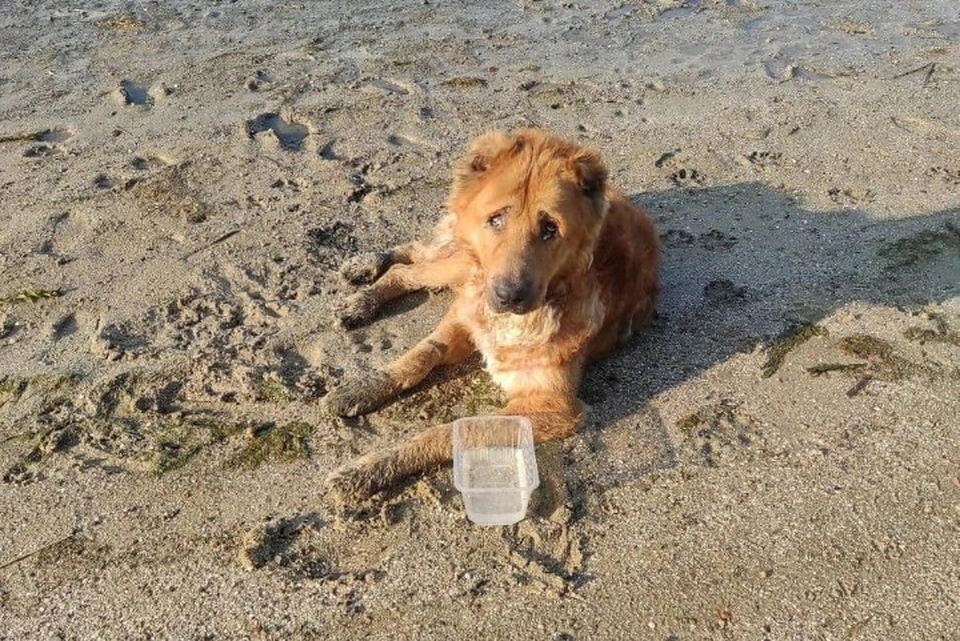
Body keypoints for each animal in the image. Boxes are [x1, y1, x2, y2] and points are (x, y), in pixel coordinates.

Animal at [322, 129, 660, 500]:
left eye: (550, 229)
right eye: (496, 219)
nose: (508, 296)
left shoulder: (555, 406)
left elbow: (455, 429)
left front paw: (375, 466)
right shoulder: (466, 314)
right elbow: (421, 355)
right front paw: (361, 388)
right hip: (460, 262)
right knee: (407, 265)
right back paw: (363, 285)